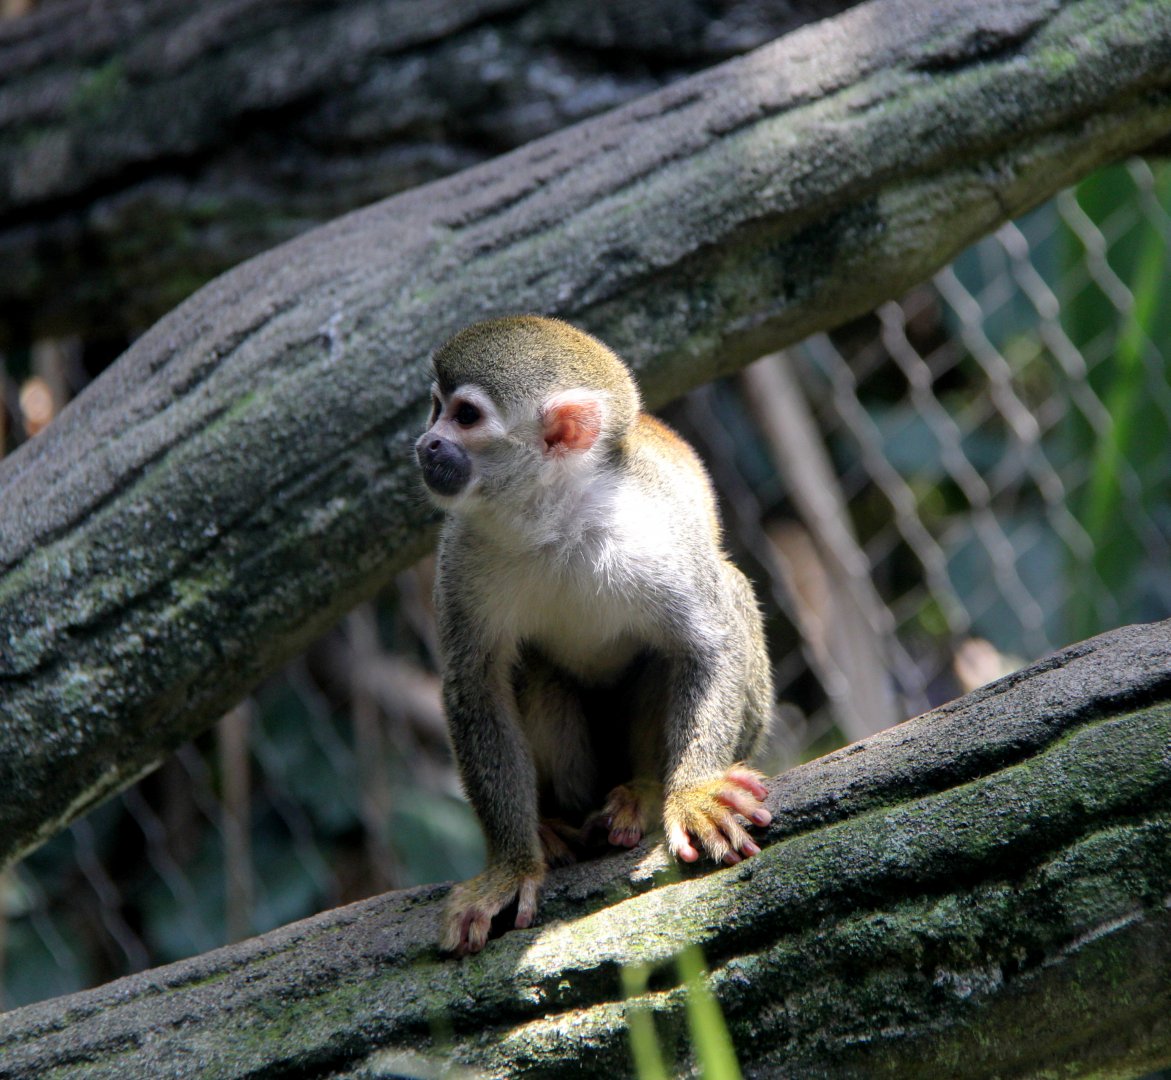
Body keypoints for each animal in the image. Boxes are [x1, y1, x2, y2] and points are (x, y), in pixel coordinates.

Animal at [415, 315, 773, 956]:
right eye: (435, 409)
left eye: (466, 416)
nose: (426, 442)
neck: (551, 516)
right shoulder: (461, 547)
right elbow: (474, 684)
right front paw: (511, 864)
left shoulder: (655, 527)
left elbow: (710, 642)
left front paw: (693, 792)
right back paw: (552, 824)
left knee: (719, 598)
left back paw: (645, 789)